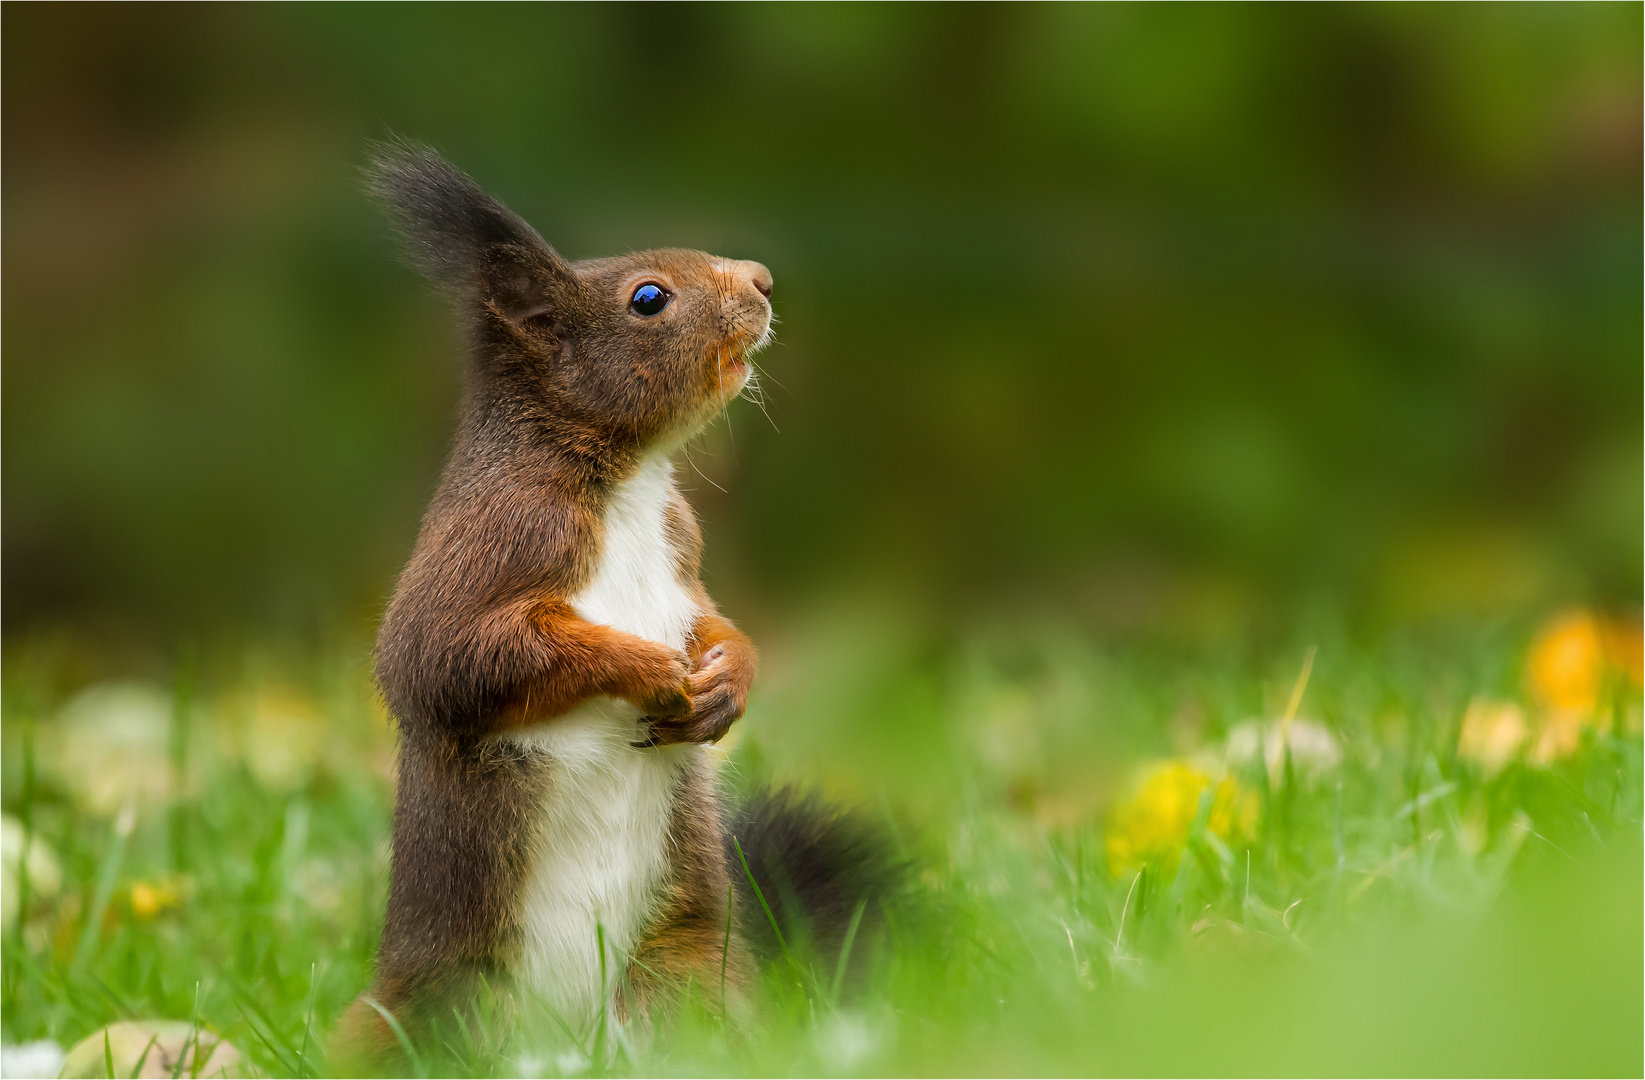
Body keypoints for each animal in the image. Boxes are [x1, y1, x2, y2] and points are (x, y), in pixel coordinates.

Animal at [332, 141, 888, 1058]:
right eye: (648, 298)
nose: (763, 279)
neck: (628, 483)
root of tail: (561, 1047)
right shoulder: (495, 538)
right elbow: (446, 657)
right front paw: (644, 667)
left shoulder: (680, 548)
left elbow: (713, 616)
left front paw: (728, 680)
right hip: (427, 1003)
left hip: (685, 968)